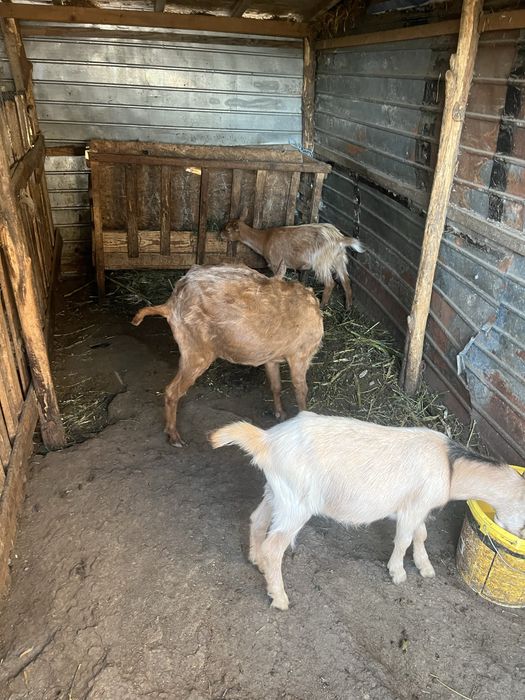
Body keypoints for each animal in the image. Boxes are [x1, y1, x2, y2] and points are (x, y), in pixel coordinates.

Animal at [132, 265, 323, 447]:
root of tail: (170, 305)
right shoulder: (300, 355)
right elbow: (301, 390)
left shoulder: (271, 358)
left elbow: (276, 385)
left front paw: (280, 414)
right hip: (196, 351)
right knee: (172, 391)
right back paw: (174, 436)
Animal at [210, 411, 525, 610]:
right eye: (523, 523)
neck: (449, 467)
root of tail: (266, 440)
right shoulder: (412, 508)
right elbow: (405, 539)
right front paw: (398, 572)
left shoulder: (417, 506)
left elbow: (421, 535)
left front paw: (425, 567)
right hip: (296, 505)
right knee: (274, 547)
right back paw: (280, 598)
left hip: (278, 493)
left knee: (257, 520)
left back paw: (256, 561)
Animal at [220, 219, 364, 310]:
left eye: (228, 230)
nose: (220, 234)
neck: (265, 239)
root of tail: (339, 238)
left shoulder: (277, 262)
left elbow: (277, 280)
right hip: (339, 259)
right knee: (346, 281)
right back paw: (348, 308)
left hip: (322, 261)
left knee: (330, 283)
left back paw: (323, 306)